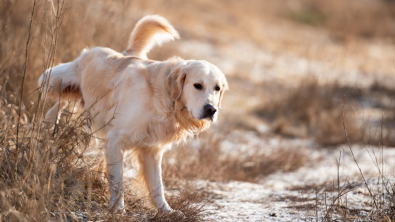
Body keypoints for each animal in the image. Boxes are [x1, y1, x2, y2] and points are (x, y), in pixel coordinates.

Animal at [38, 15, 229, 213]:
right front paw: (118, 209)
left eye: (217, 88)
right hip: (54, 80)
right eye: (197, 85)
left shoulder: (152, 150)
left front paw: (165, 210)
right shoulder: (116, 141)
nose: (211, 109)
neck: (162, 97)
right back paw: (49, 123)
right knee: (56, 95)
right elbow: (118, 181)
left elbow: (157, 185)